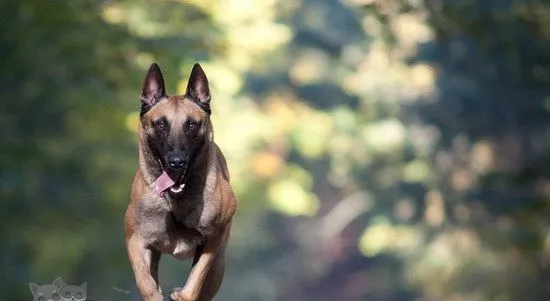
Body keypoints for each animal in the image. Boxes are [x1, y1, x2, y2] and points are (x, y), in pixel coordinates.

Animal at [126, 62, 238, 298]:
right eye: (160, 124)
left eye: (192, 125)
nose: (176, 162)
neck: (175, 202)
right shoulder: (135, 240)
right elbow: (145, 282)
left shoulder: (212, 242)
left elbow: (195, 282)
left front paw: (182, 295)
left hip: (218, 267)